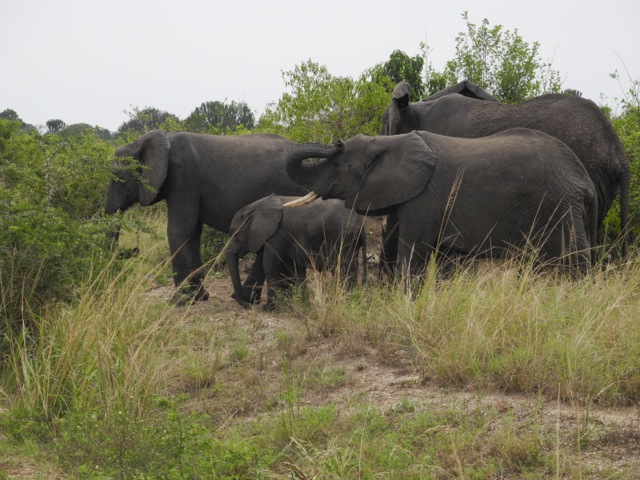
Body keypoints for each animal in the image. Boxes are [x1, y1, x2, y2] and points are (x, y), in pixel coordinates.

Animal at [106, 129, 306, 306]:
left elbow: (179, 230)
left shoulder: (183, 179)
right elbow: (193, 232)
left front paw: (179, 302)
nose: (135, 249)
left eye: (118, 177)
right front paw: (199, 298)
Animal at [228, 194, 368, 312]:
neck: (256, 207)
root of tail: (362, 224)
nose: (246, 305)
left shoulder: (277, 235)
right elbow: (291, 268)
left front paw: (268, 308)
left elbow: (269, 265)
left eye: (235, 233)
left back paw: (346, 302)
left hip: (344, 239)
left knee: (345, 270)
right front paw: (298, 305)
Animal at [284, 128, 600, 278]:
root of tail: (585, 182)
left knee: (574, 259)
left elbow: (413, 253)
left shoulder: (424, 197)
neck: (389, 141)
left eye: (338, 164)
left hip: (561, 207)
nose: (337, 141)